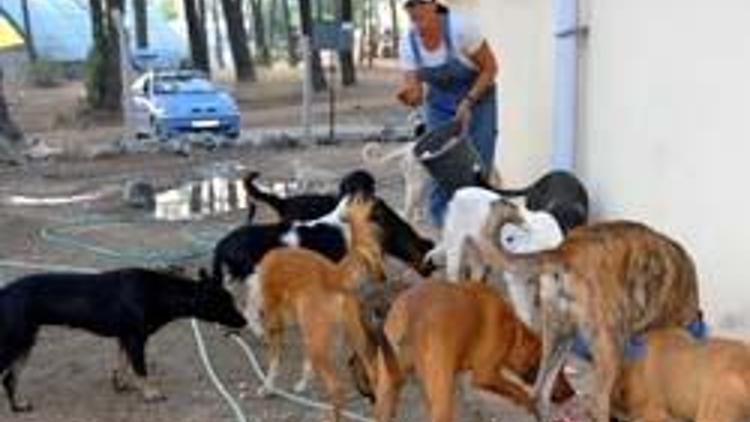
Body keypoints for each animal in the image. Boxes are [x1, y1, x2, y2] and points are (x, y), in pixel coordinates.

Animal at [0, 268, 247, 412]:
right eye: (225, 303)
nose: (245, 321)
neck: (160, 292)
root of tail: (4, 293)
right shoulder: (136, 339)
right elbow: (141, 370)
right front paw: (150, 394)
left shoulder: (125, 338)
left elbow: (123, 365)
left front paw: (120, 383)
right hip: (17, 342)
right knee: (8, 377)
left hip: (24, 343)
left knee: (10, 379)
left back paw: (18, 405)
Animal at [247, 195, 388, 422]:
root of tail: (334, 274)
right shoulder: (305, 330)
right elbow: (306, 362)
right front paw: (303, 383)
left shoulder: (275, 325)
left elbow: (274, 362)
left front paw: (268, 387)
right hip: (353, 338)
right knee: (374, 373)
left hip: (320, 343)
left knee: (337, 388)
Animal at [372, 280, 576, 422]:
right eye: (559, 370)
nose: (572, 393)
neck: (513, 332)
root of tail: (411, 315)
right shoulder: (485, 374)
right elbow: (518, 390)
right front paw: (531, 405)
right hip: (441, 402)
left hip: (385, 392)